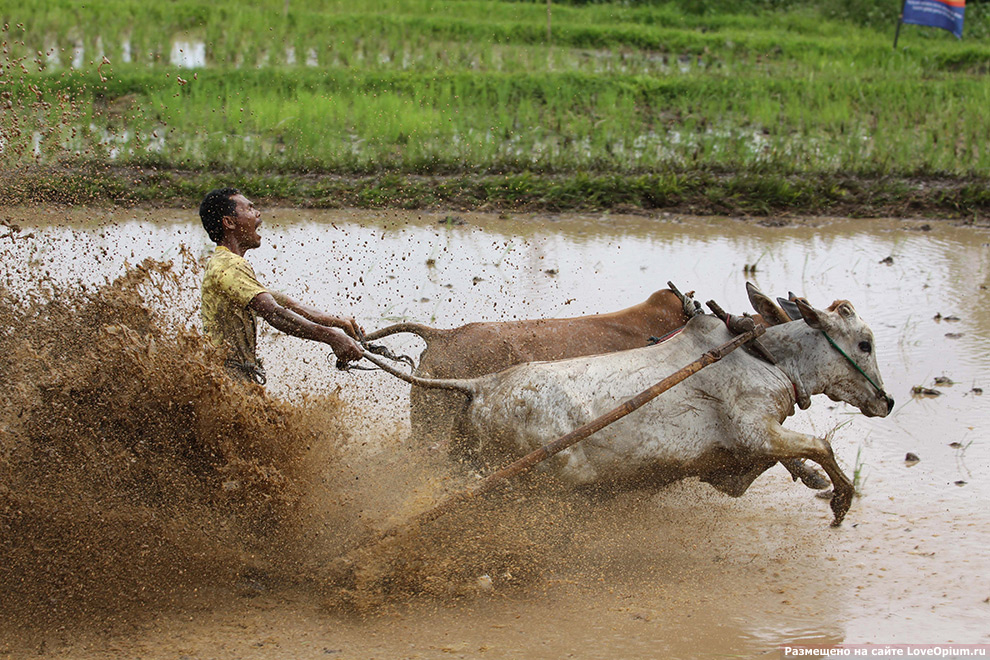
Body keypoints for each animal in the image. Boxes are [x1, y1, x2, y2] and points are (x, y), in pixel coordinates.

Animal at [398, 288, 900, 524]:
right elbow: (821, 447)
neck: (765, 355)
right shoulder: (756, 433)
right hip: (531, 482)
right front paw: (841, 500)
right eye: (865, 342)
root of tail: (479, 386)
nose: (887, 401)